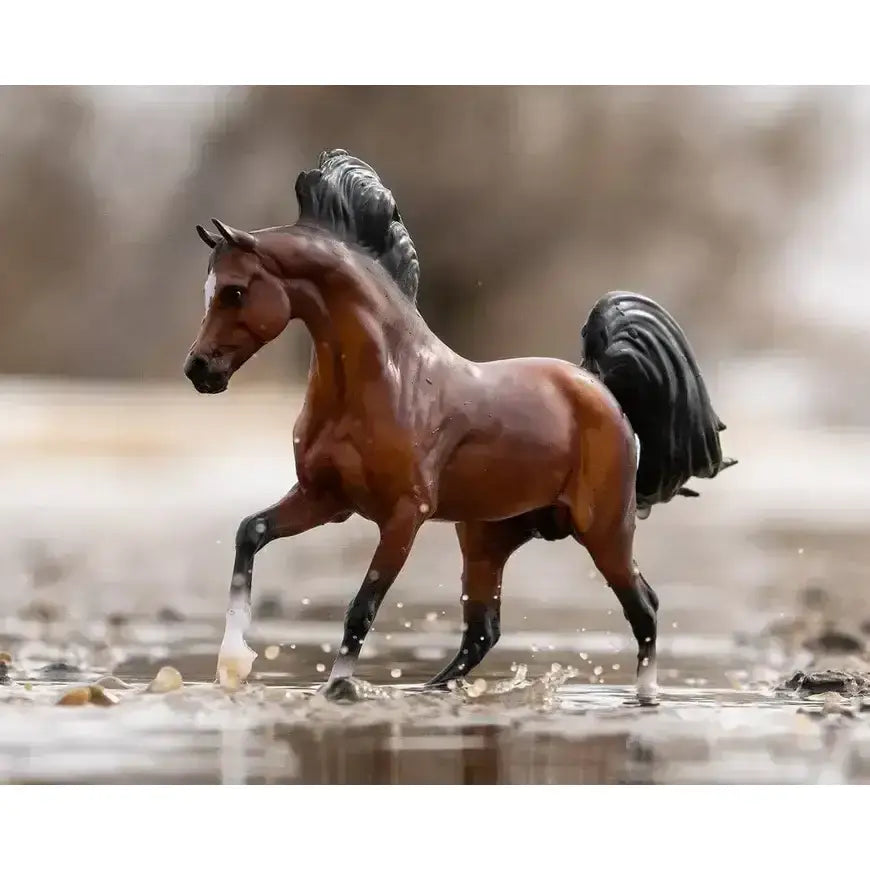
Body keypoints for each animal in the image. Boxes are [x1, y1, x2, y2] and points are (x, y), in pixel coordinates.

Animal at [183, 148, 736, 701]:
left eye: (234, 292)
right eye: (208, 288)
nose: (198, 370)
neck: (387, 380)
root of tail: (597, 383)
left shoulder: (403, 515)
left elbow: (362, 608)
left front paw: (338, 686)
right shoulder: (324, 498)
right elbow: (249, 533)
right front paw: (231, 663)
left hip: (604, 531)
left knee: (643, 608)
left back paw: (645, 695)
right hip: (486, 536)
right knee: (483, 631)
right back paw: (431, 689)